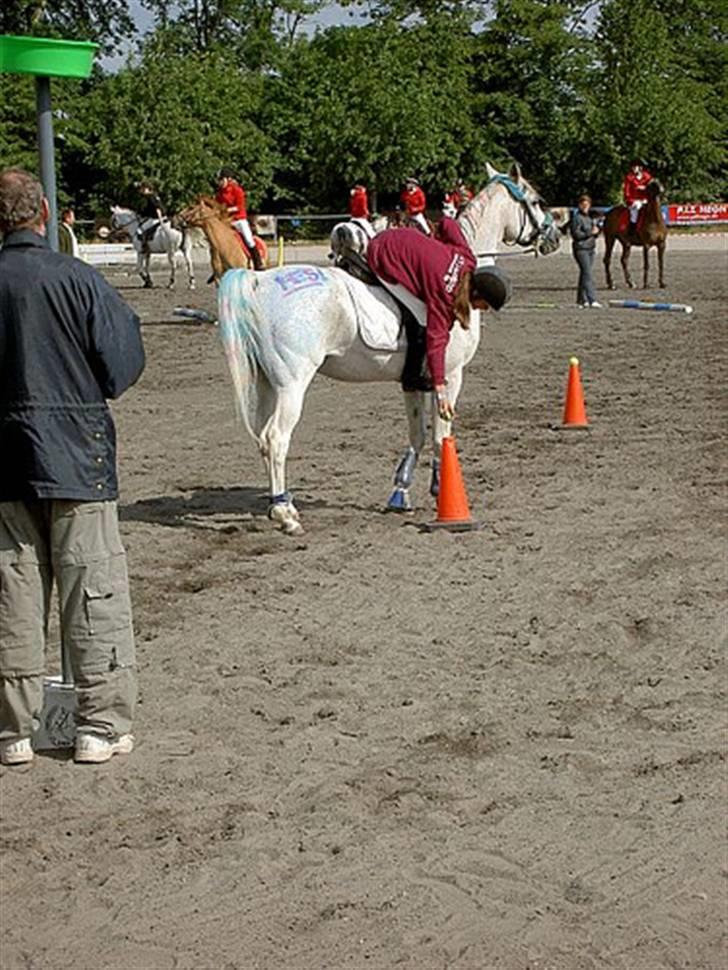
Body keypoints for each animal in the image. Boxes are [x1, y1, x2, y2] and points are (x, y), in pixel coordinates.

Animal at [215, 162, 556, 532]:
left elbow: (418, 434)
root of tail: (258, 281)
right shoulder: (450, 375)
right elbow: (441, 435)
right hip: (291, 386)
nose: (554, 236)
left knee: (263, 440)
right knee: (276, 439)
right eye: (536, 201)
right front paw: (439, 488)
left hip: (266, 384)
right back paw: (285, 513)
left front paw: (401, 492)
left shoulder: (413, 381)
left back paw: (277, 504)